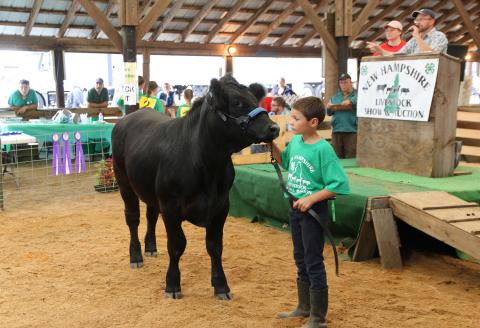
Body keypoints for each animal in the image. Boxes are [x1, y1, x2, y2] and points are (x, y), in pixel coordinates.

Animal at [110, 75, 280, 302]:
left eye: (255, 99)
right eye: (236, 102)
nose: (274, 128)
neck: (208, 166)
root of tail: (130, 116)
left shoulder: (221, 206)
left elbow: (215, 246)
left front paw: (221, 286)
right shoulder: (171, 207)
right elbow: (176, 245)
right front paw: (172, 284)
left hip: (151, 190)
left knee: (151, 215)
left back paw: (150, 247)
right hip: (124, 182)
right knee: (133, 218)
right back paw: (136, 256)